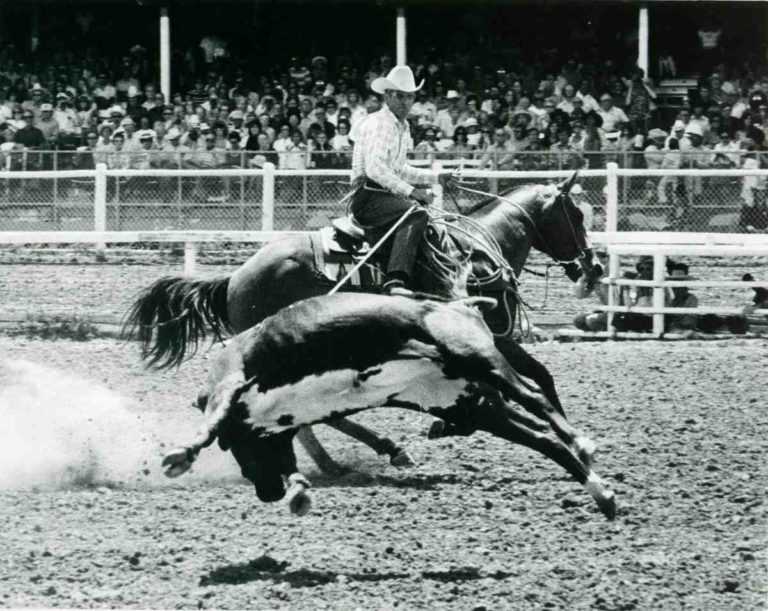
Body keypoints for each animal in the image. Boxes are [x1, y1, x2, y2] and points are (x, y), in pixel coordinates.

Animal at [124, 175, 600, 476]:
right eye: (576, 216)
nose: (593, 269)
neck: (478, 253)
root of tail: (234, 280)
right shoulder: (487, 337)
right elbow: (529, 380)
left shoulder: (493, 339)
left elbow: (540, 375)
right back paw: (377, 453)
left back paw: (347, 459)